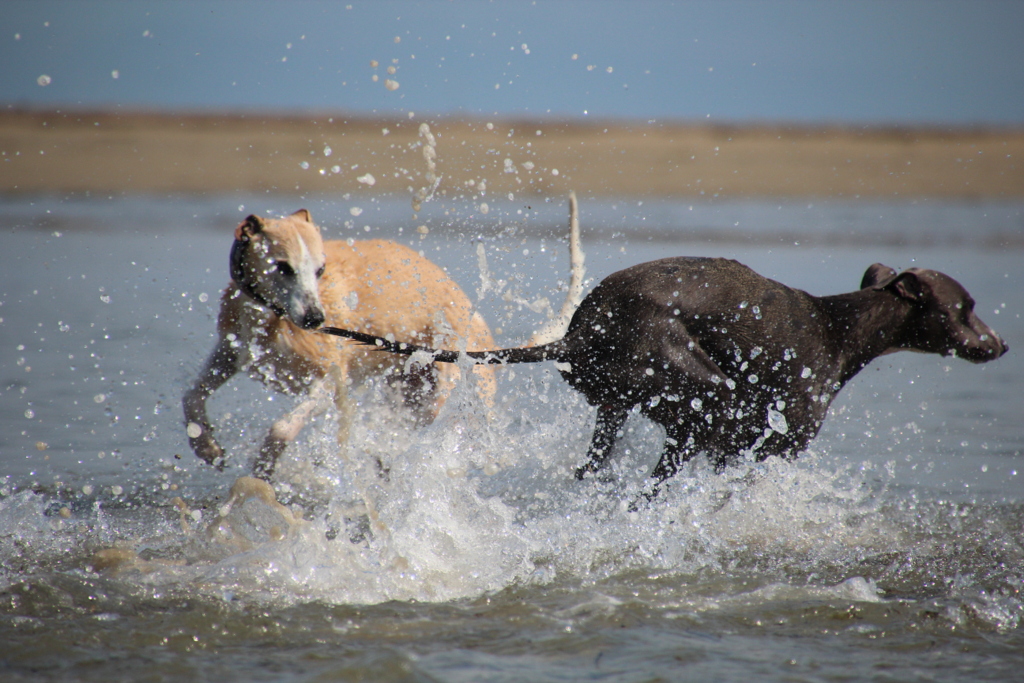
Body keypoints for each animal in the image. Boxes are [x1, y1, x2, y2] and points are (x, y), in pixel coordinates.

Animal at [187, 210, 499, 479]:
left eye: (320, 269)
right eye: (283, 267)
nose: (315, 319)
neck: (274, 317)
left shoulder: (329, 382)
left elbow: (281, 428)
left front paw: (264, 467)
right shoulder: (231, 351)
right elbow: (192, 395)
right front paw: (206, 446)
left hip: (434, 394)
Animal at [325, 259, 1007, 499]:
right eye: (967, 305)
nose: (1001, 345)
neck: (836, 329)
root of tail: (578, 333)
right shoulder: (774, 445)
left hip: (624, 409)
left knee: (598, 471)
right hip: (700, 393)